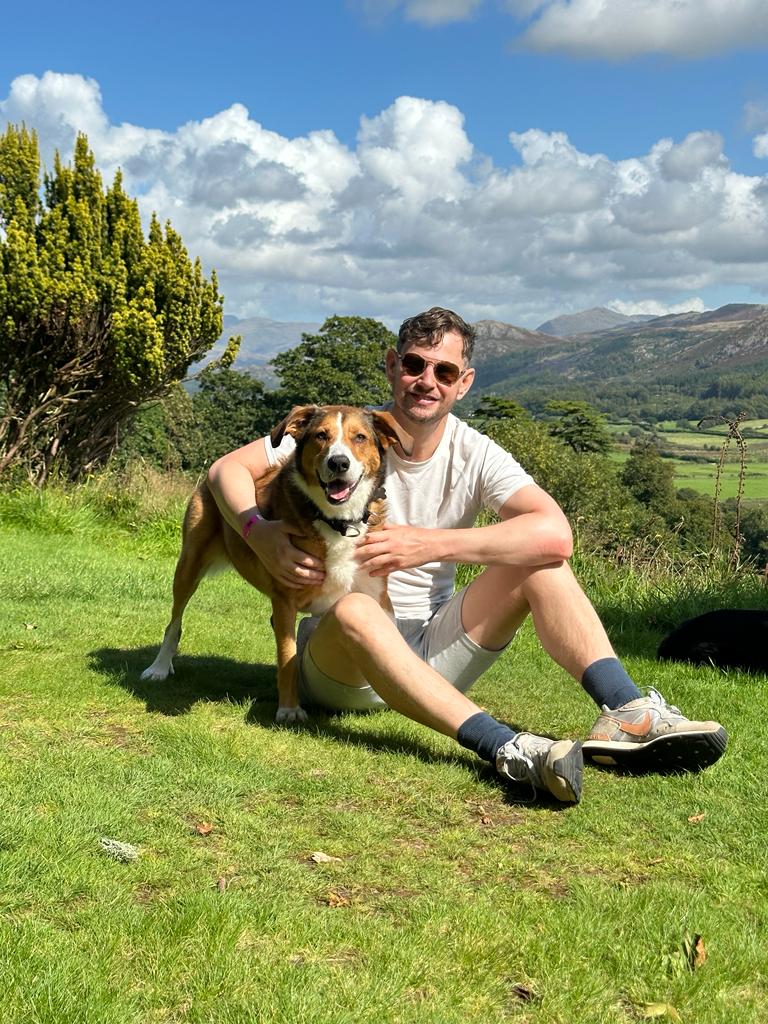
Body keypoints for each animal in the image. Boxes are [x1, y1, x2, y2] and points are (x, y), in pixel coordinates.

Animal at [141, 403, 411, 724]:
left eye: (360, 437)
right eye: (321, 436)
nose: (338, 463)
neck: (338, 522)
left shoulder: (375, 598)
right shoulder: (285, 601)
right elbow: (287, 657)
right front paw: (289, 708)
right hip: (188, 567)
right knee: (174, 623)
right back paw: (159, 667)